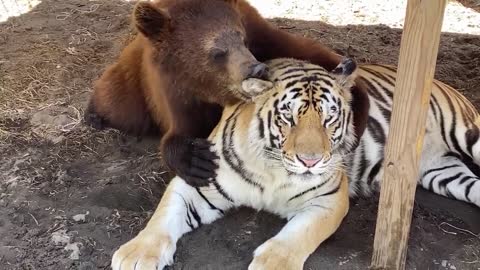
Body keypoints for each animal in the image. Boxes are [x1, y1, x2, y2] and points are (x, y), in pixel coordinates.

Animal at [86, 0, 370, 185]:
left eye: (242, 39)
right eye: (217, 52)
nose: (257, 69)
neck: (210, 90)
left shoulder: (261, 31)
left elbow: (313, 54)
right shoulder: (174, 91)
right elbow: (178, 133)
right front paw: (197, 159)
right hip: (132, 88)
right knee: (118, 101)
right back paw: (93, 114)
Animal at [110, 57, 358, 270]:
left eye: (329, 118)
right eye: (288, 117)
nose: (310, 161)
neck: (275, 172)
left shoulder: (329, 198)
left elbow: (300, 233)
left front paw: (274, 264)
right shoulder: (198, 182)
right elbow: (164, 214)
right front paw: (137, 254)